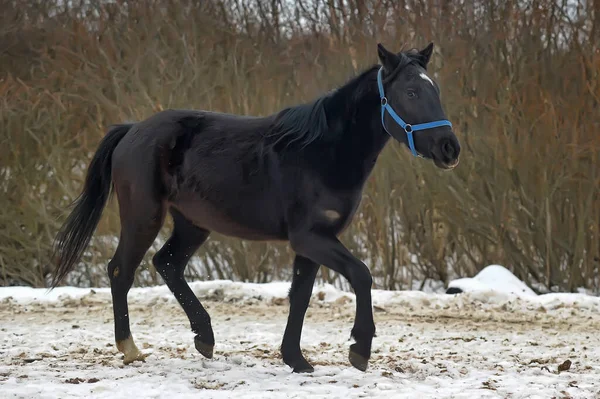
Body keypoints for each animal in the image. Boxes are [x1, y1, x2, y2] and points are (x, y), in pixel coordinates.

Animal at [52, 43, 460, 376]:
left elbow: (300, 297)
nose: (449, 148)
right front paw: (359, 348)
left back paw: (205, 337)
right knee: (121, 270)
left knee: (167, 264)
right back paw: (131, 348)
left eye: (437, 90)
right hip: (143, 215)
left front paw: (296, 359)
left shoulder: (313, 242)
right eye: (411, 91)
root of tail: (133, 129)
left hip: (192, 223)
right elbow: (361, 275)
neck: (322, 152)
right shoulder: (310, 238)